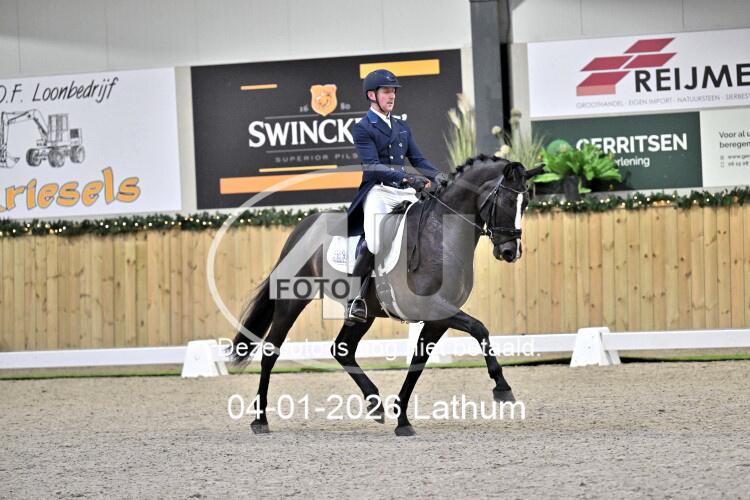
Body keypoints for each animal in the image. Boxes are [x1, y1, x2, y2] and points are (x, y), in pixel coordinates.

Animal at [229, 155, 544, 436]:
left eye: (526, 203)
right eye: (505, 202)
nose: (510, 252)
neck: (442, 236)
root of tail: (302, 226)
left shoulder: (440, 318)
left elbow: (418, 362)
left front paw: (402, 419)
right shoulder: (436, 307)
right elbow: (480, 328)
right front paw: (502, 387)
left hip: (365, 312)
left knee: (342, 349)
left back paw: (375, 404)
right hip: (292, 301)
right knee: (270, 352)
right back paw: (260, 420)